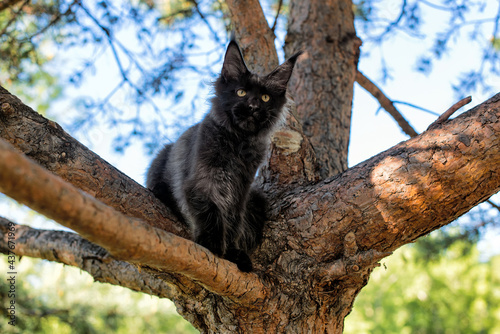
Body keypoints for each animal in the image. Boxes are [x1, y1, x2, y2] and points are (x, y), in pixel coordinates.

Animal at [145, 39, 300, 272]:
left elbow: (233, 221)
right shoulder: (202, 181)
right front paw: (213, 243)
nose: (253, 107)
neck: (237, 143)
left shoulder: (240, 190)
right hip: (162, 157)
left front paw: (234, 252)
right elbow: (210, 211)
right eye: (241, 92)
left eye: (265, 98)